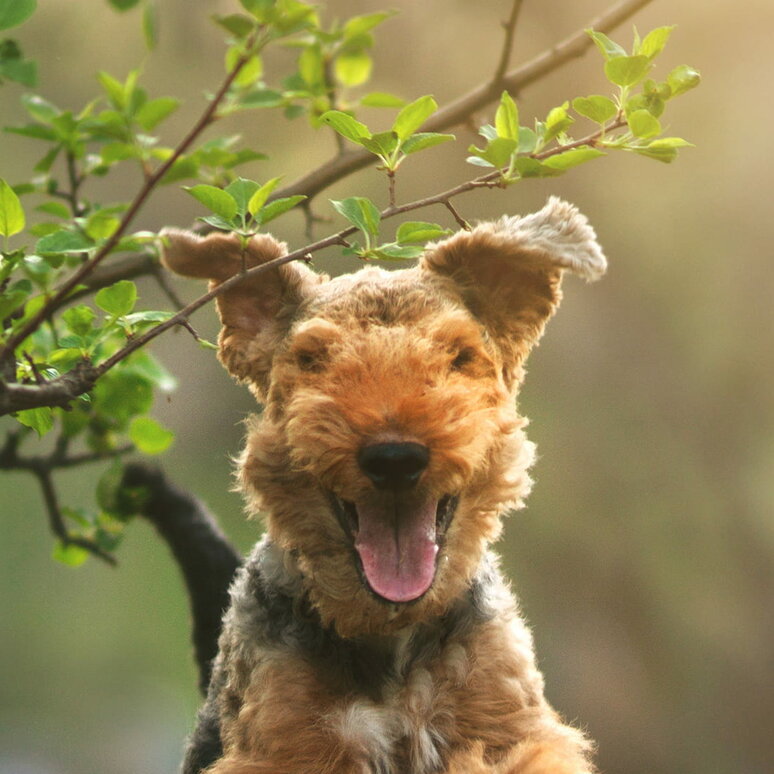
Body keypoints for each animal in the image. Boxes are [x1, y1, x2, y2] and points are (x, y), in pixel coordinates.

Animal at [164, 199, 608, 774]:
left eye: (459, 355)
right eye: (311, 359)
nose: (394, 457)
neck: (391, 637)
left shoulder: (503, 730)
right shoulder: (286, 746)